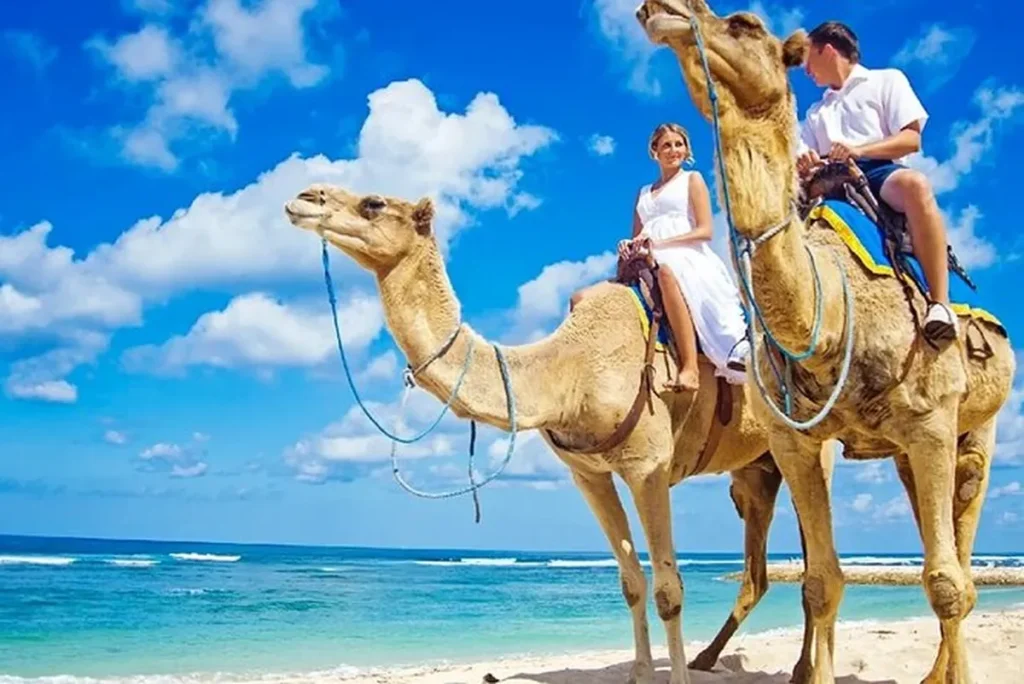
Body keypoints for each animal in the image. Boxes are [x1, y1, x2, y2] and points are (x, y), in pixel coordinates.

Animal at [283, 184, 832, 684]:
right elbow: (632, 582)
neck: (571, 369)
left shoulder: (647, 466)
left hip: (808, 442)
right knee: (760, 569)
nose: (303, 197)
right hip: (754, 471)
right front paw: (640, 674)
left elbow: (668, 589)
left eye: (373, 203)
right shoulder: (588, 474)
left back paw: (798, 670)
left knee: (814, 563)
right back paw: (711, 659)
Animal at [634, 1, 1016, 682]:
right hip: (903, 453)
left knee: (962, 566)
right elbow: (820, 582)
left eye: (744, 23)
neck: (829, 314)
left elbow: (946, 584)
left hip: (977, 428)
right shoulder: (794, 441)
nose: (665, 9)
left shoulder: (931, 422)